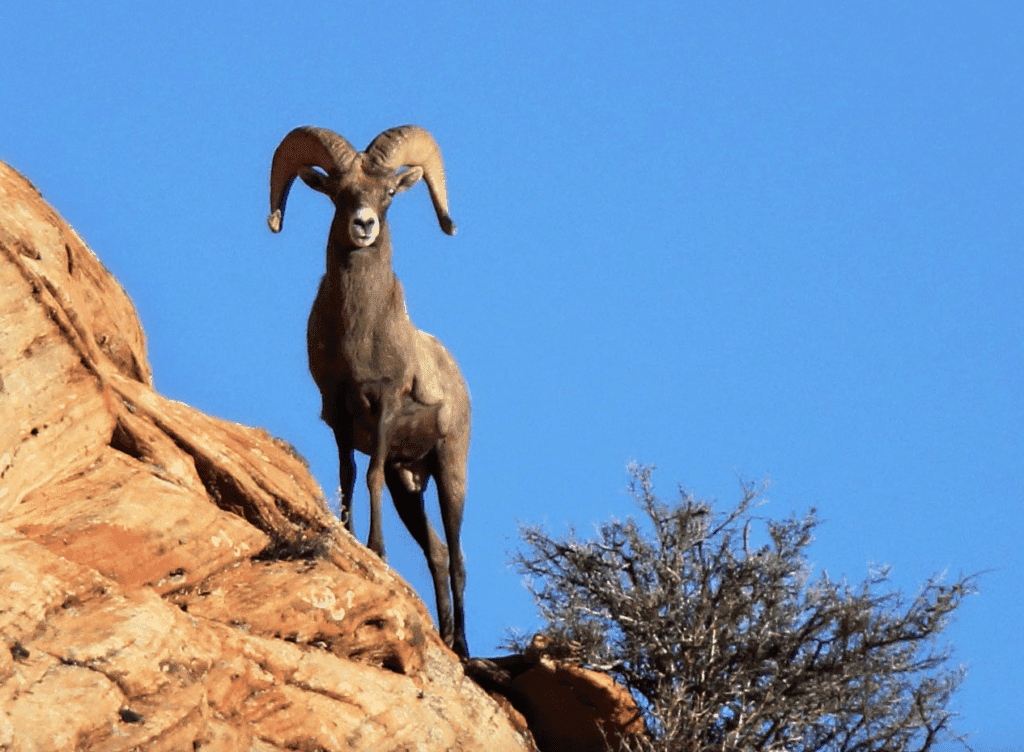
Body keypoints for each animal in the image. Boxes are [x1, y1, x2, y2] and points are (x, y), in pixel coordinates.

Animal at [267, 125, 470, 658]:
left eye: (389, 194)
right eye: (339, 194)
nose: (364, 226)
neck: (359, 332)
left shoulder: (384, 409)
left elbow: (372, 474)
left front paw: (377, 551)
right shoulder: (339, 413)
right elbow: (350, 478)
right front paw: (351, 538)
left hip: (450, 471)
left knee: (458, 557)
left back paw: (462, 647)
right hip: (410, 485)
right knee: (438, 553)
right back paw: (445, 636)